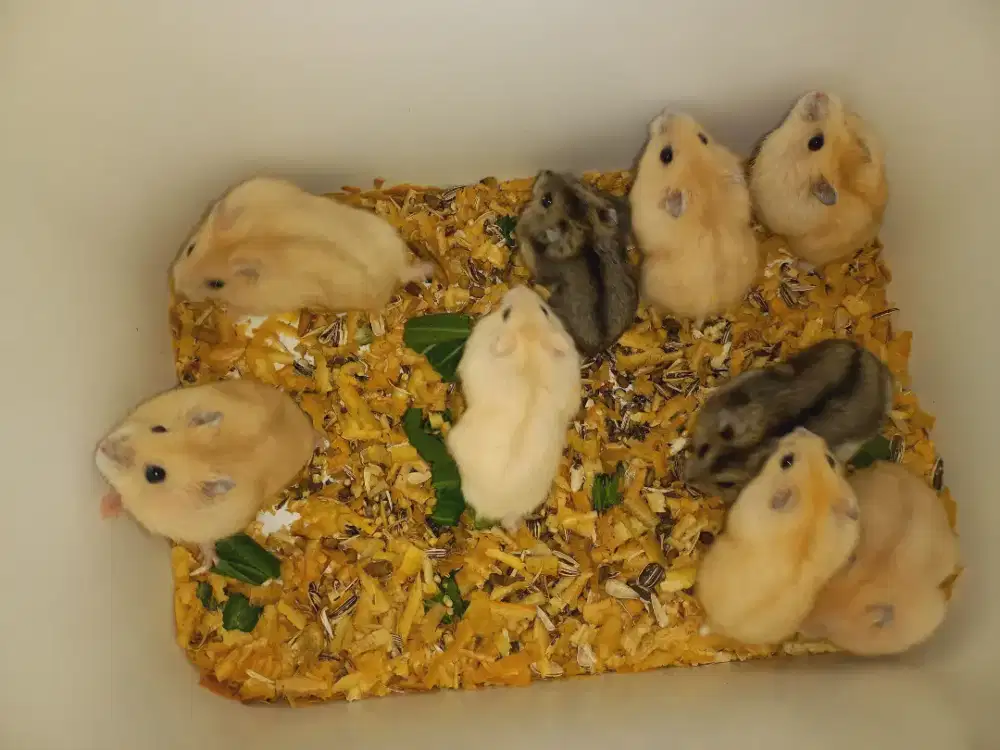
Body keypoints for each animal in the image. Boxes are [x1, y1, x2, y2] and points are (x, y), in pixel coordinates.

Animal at [171, 176, 433, 316]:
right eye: (190, 248)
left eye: (216, 284)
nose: (178, 288)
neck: (246, 241)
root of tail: (397, 269)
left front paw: (228, 311)